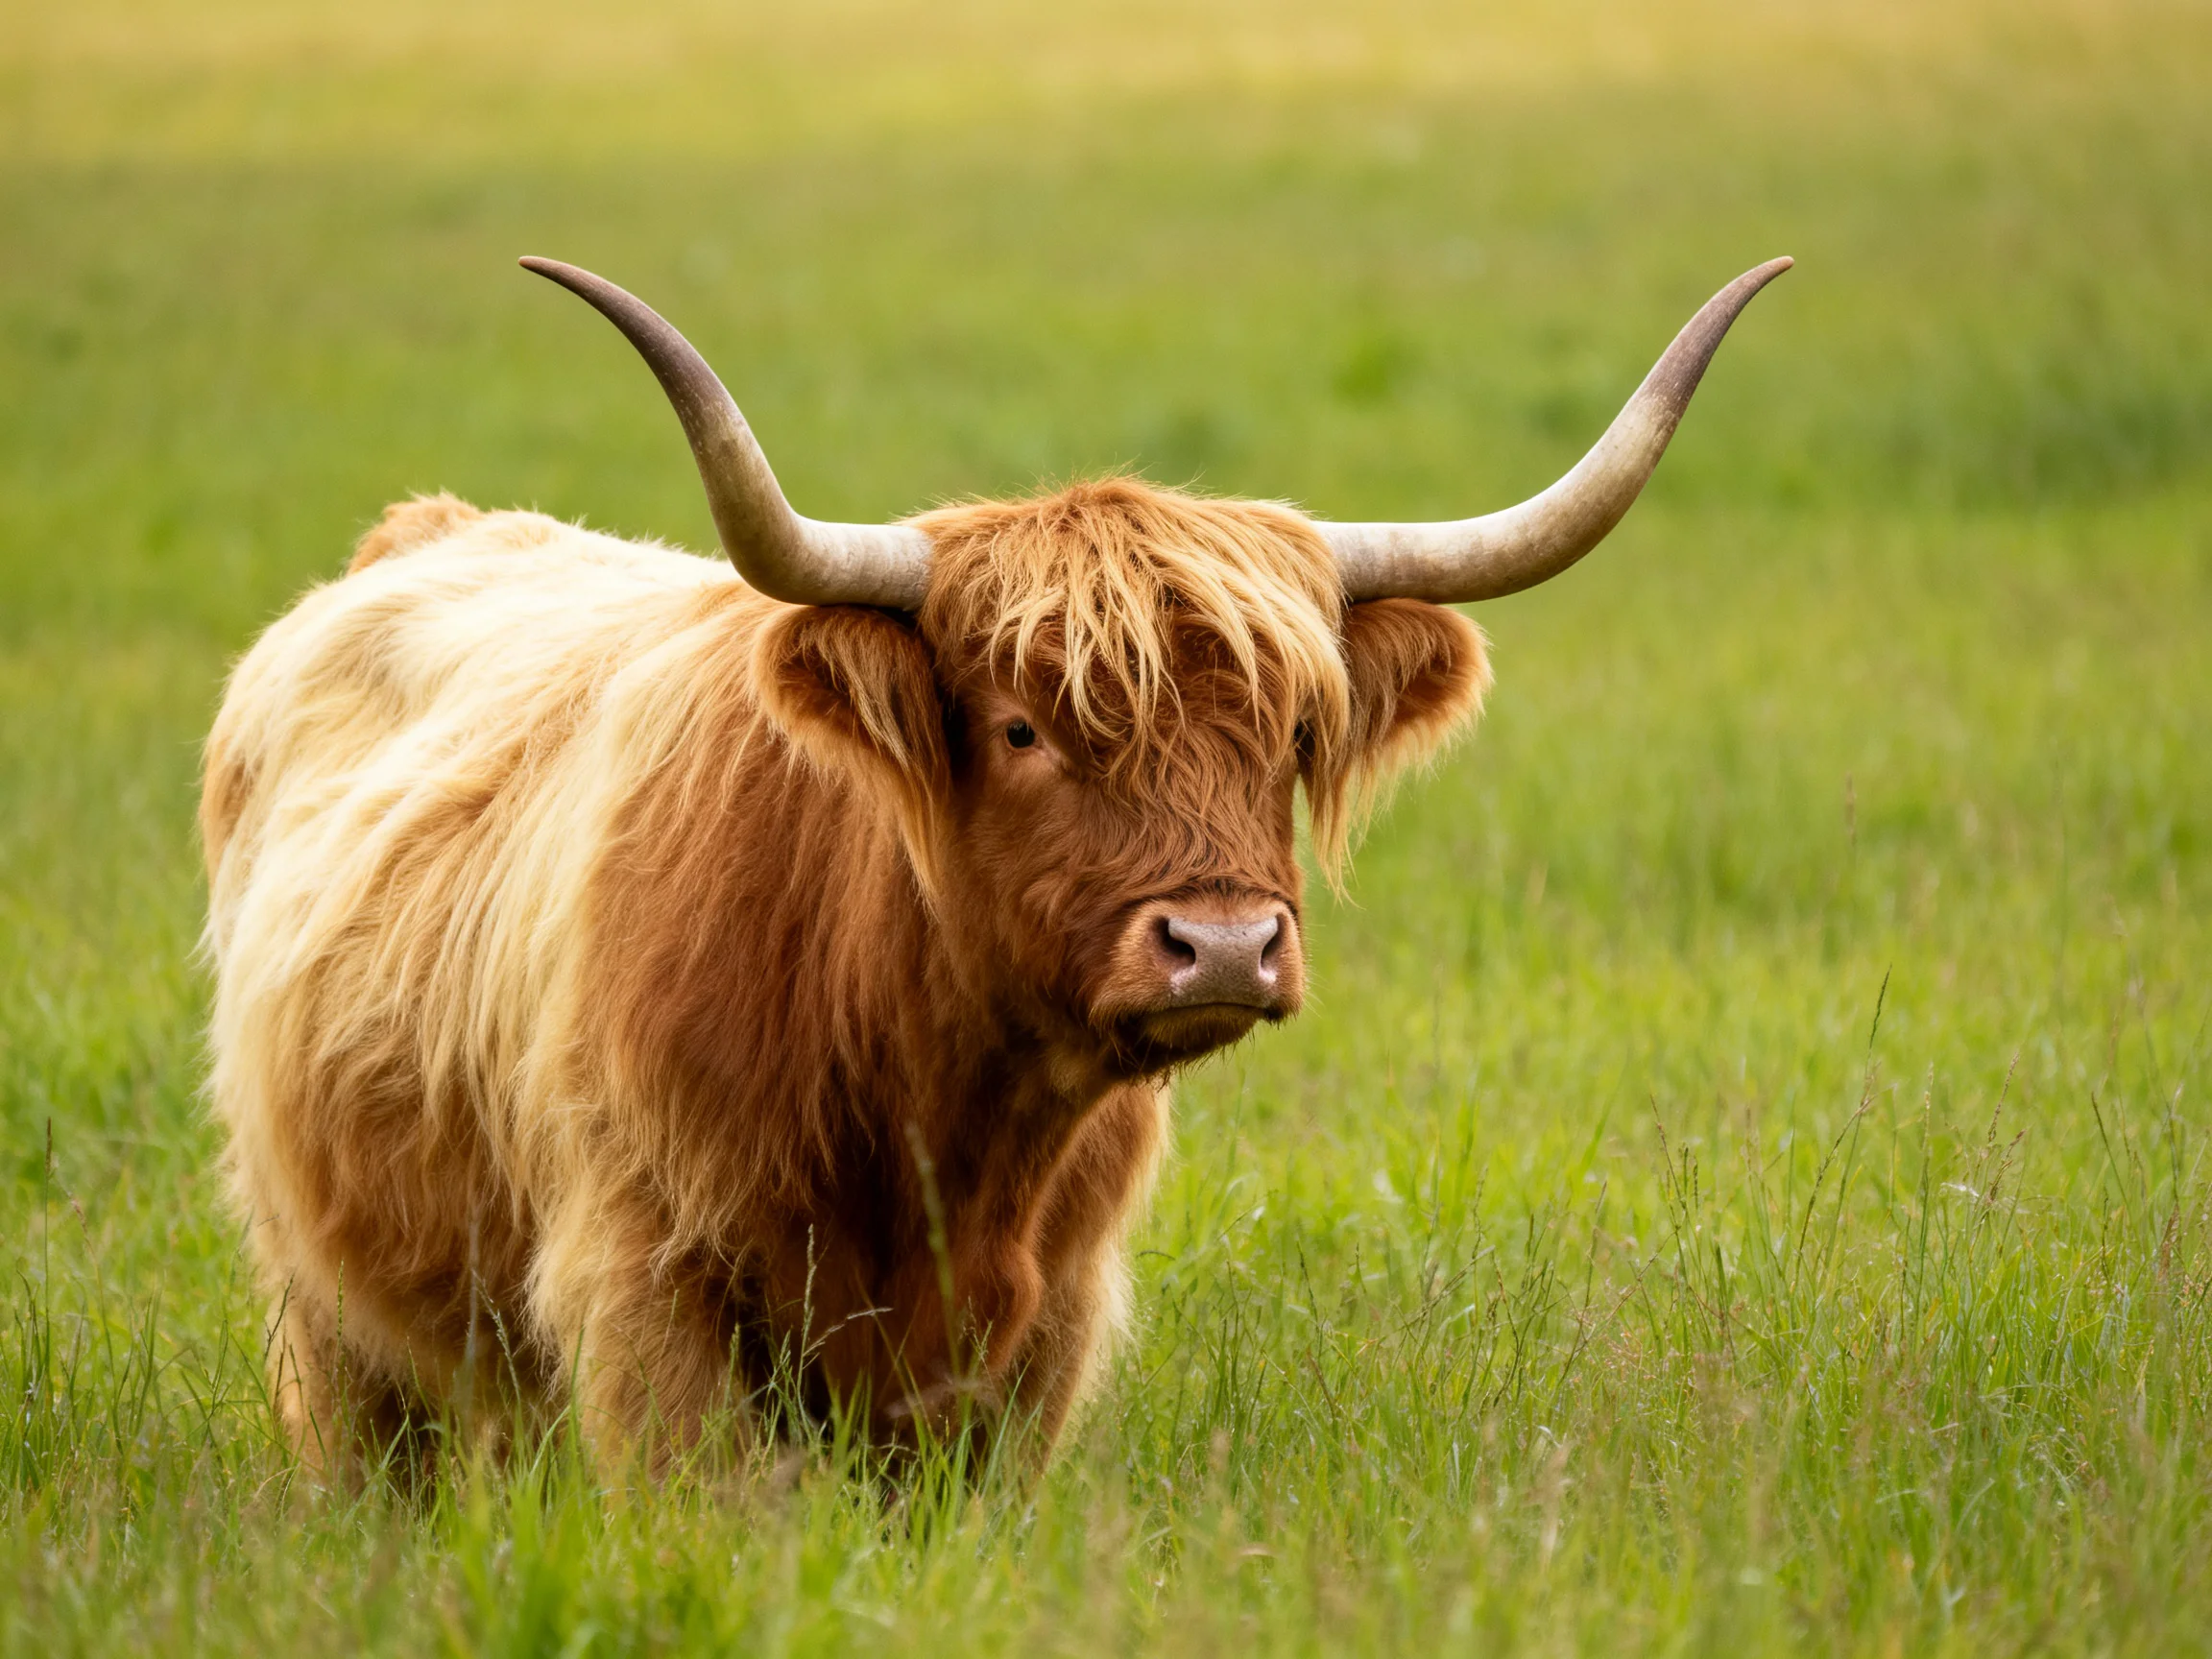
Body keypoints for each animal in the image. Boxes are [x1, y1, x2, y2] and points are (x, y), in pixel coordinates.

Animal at [200, 255, 1787, 1473]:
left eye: (1289, 732)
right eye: (1023, 726)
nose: (1223, 947)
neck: (933, 1107)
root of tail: (425, 532)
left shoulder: (1044, 1326)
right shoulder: (643, 1281)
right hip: (325, 1309)